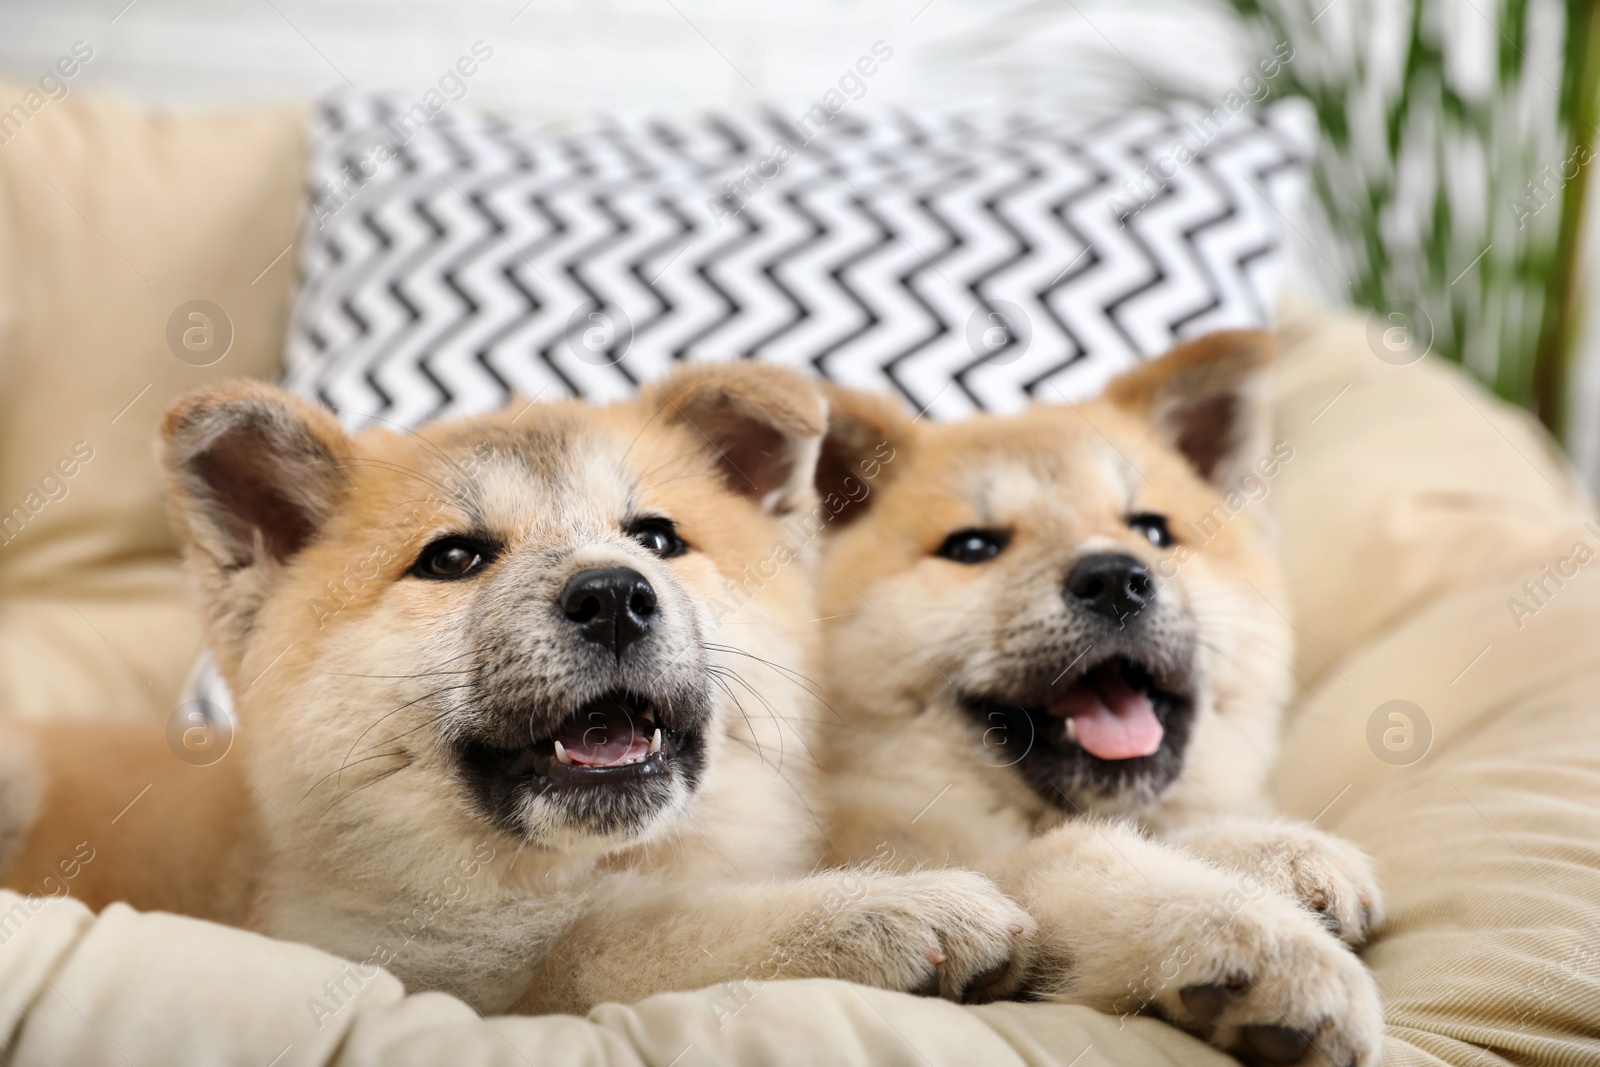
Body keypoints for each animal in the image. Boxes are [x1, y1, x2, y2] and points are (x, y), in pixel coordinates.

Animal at [0, 364, 1030, 1017]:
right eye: (453, 558)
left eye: (658, 538)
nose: (614, 595)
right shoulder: (432, 970)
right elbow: (624, 940)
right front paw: (880, 911)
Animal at [812, 334, 1388, 1067]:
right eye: (973, 547)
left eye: (1152, 530)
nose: (1115, 579)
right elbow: (1084, 855)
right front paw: (1251, 936)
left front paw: (1274, 850)